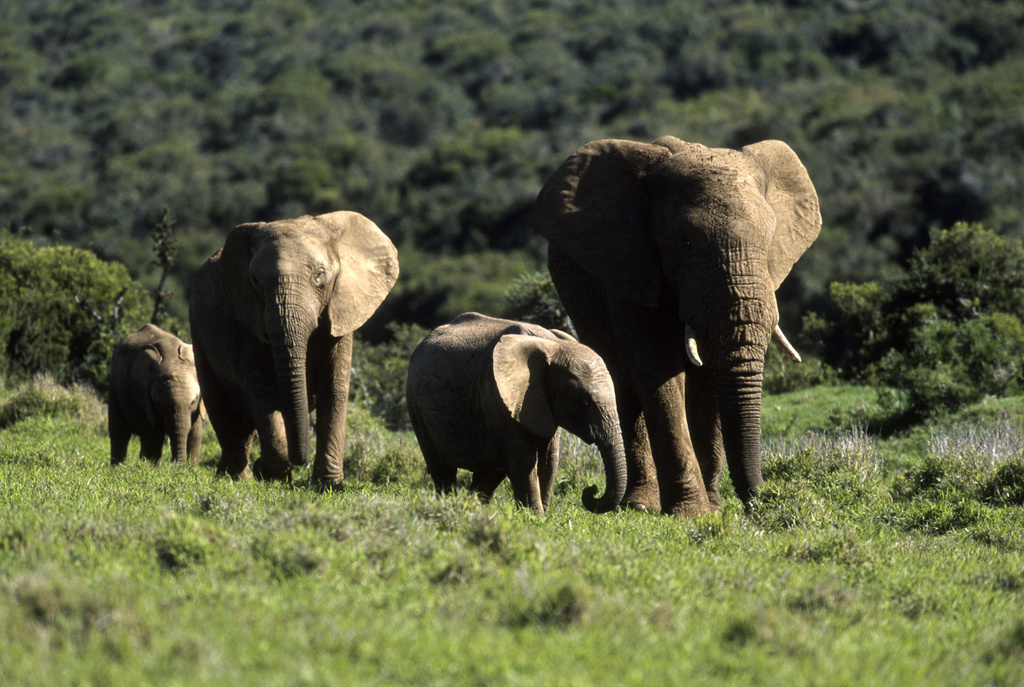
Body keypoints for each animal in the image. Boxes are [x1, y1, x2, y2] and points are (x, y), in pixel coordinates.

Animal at [108, 323, 203, 466]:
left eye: (193, 402)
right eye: (159, 404)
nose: (176, 466)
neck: (171, 359)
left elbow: (195, 434)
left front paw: (191, 469)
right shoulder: (141, 395)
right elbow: (153, 434)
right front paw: (151, 469)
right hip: (114, 387)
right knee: (120, 433)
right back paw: (118, 468)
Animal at [190, 211, 397, 487]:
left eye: (319, 275)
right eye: (254, 280)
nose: (301, 461)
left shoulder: (341, 314)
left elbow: (334, 387)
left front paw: (329, 485)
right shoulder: (249, 318)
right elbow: (261, 388)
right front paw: (272, 473)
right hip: (199, 332)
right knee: (222, 406)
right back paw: (239, 478)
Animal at [403, 315, 626, 513]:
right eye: (585, 402)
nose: (591, 490)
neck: (554, 346)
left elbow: (550, 458)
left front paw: (543, 515)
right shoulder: (498, 397)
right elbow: (523, 460)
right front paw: (535, 516)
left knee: (491, 471)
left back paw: (475, 510)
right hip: (415, 403)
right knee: (442, 469)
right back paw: (451, 505)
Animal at [532, 136, 819, 516]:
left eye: (770, 240)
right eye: (684, 242)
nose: (761, 500)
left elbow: (709, 379)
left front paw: (712, 510)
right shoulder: (630, 267)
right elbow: (655, 367)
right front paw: (690, 513)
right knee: (621, 380)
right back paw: (639, 504)